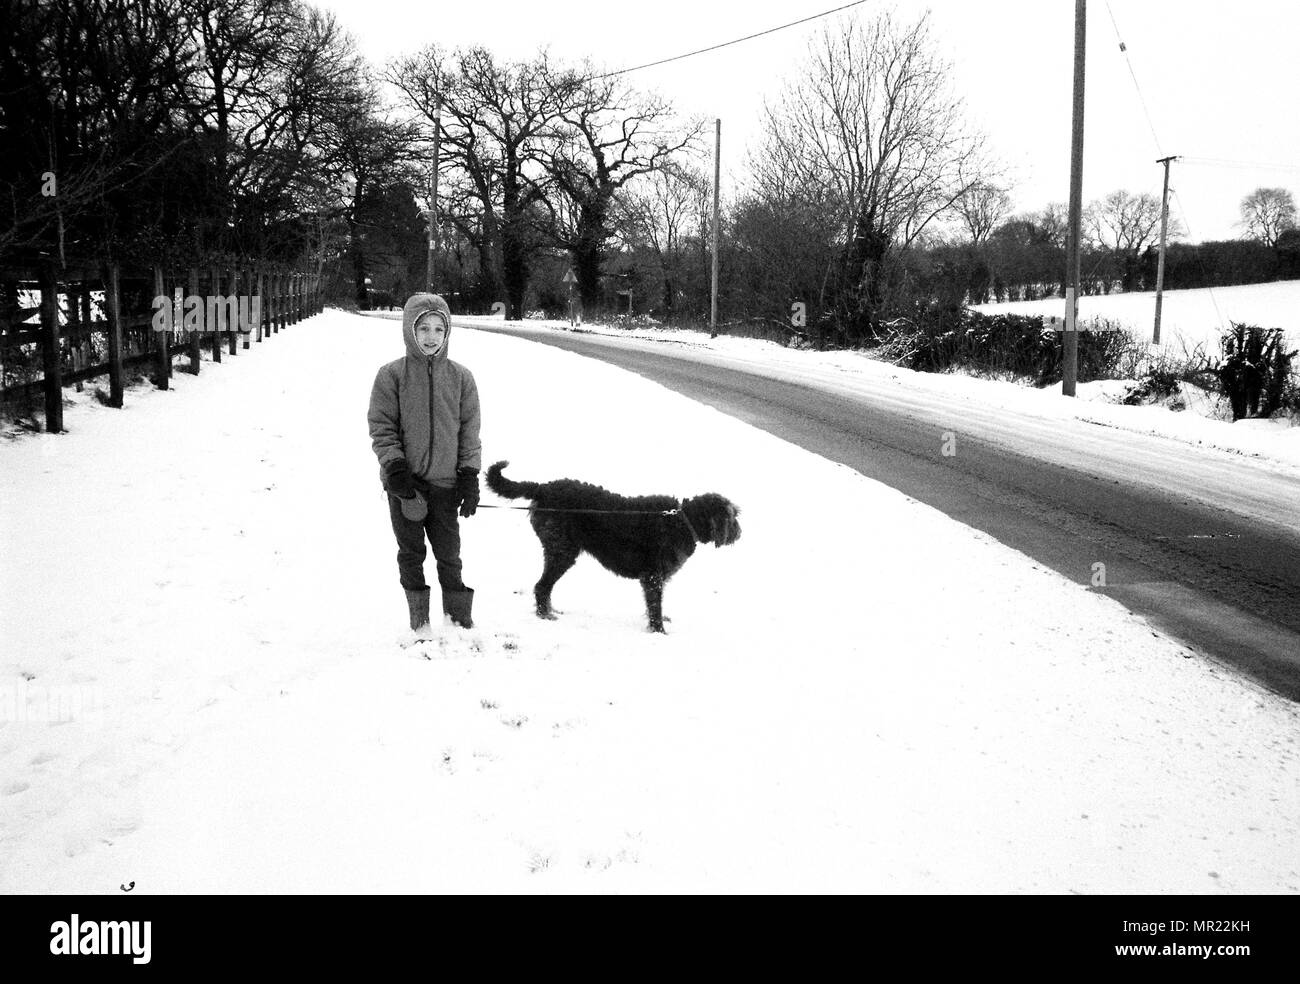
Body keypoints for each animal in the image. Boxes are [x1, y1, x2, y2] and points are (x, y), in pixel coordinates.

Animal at [486, 457, 743, 629]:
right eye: (733, 516)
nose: (739, 533)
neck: (682, 520)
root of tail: (542, 487)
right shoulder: (652, 576)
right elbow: (655, 606)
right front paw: (659, 631)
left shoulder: (657, 577)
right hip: (562, 551)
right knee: (542, 586)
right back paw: (544, 614)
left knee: (545, 587)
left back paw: (549, 609)